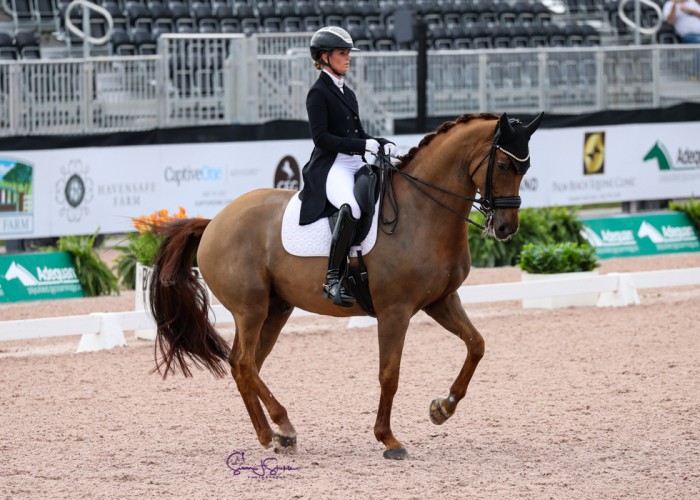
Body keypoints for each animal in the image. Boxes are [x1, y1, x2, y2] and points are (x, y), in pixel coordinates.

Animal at [146, 111, 540, 458]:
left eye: (526, 168)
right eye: (503, 166)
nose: (506, 228)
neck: (421, 211)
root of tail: (214, 221)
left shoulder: (441, 300)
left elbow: (477, 345)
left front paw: (442, 408)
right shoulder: (395, 311)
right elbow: (389, 374)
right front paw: (389, 440)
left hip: (275, 309)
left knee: (245, 365)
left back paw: (273, 435)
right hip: (250, 308)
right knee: (243, 363)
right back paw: (282, 427)